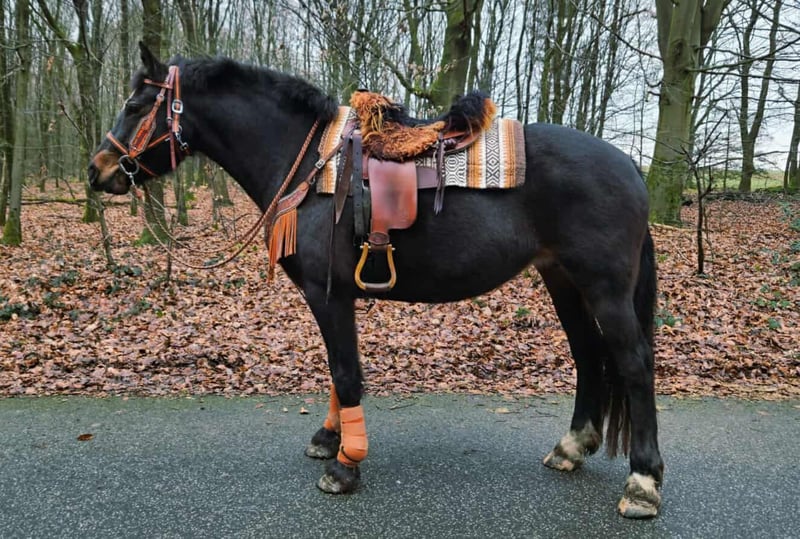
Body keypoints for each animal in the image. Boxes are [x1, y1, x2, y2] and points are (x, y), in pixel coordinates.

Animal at [88, 42, 664, 519]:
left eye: (137, 105)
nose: (98, 171)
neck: (309, 163)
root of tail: (630, 166)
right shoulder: (332, 296)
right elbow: (336, 371)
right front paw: (330, 439)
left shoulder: (329, 294)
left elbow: (346, 373)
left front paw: (345, 465)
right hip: (562, 278)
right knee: (589, 355)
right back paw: (571, 448)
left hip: (604, 287)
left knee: (633, 364)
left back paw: (642, 483)